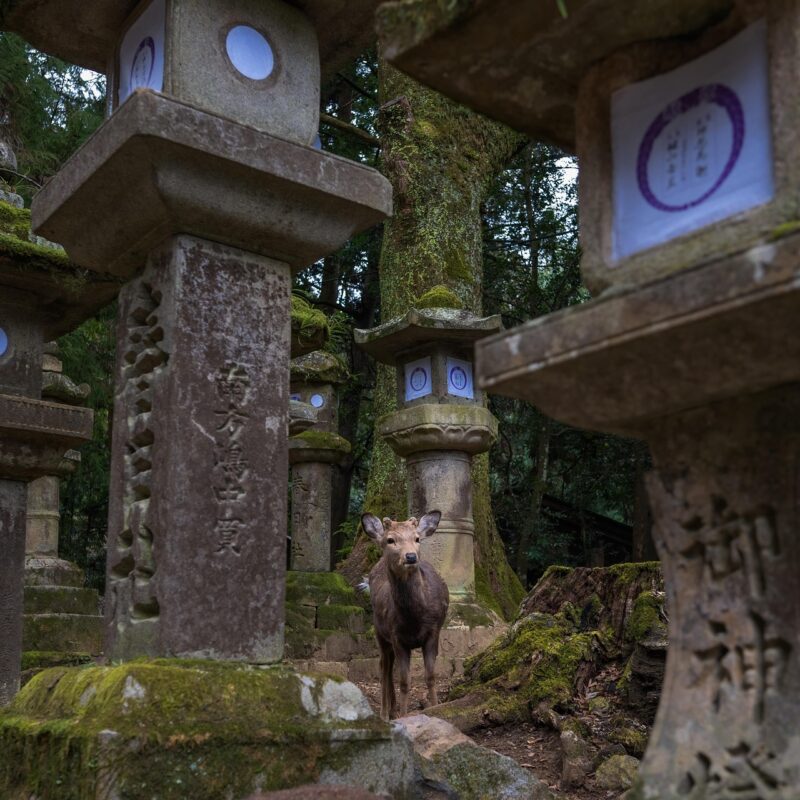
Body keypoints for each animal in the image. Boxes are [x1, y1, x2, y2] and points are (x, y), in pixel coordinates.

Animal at [361, 510, 449, 721]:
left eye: (417, 538)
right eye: (390, 540)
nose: (410, 556)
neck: (414, 620)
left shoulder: (434, 631)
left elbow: (430, 676)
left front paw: (435, 707)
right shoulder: (396, 636)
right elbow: (405, 681)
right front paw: (403, 715)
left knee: (388, 666)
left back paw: (391, 709)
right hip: (379, 631)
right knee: (384, 667)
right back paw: (385, 713)